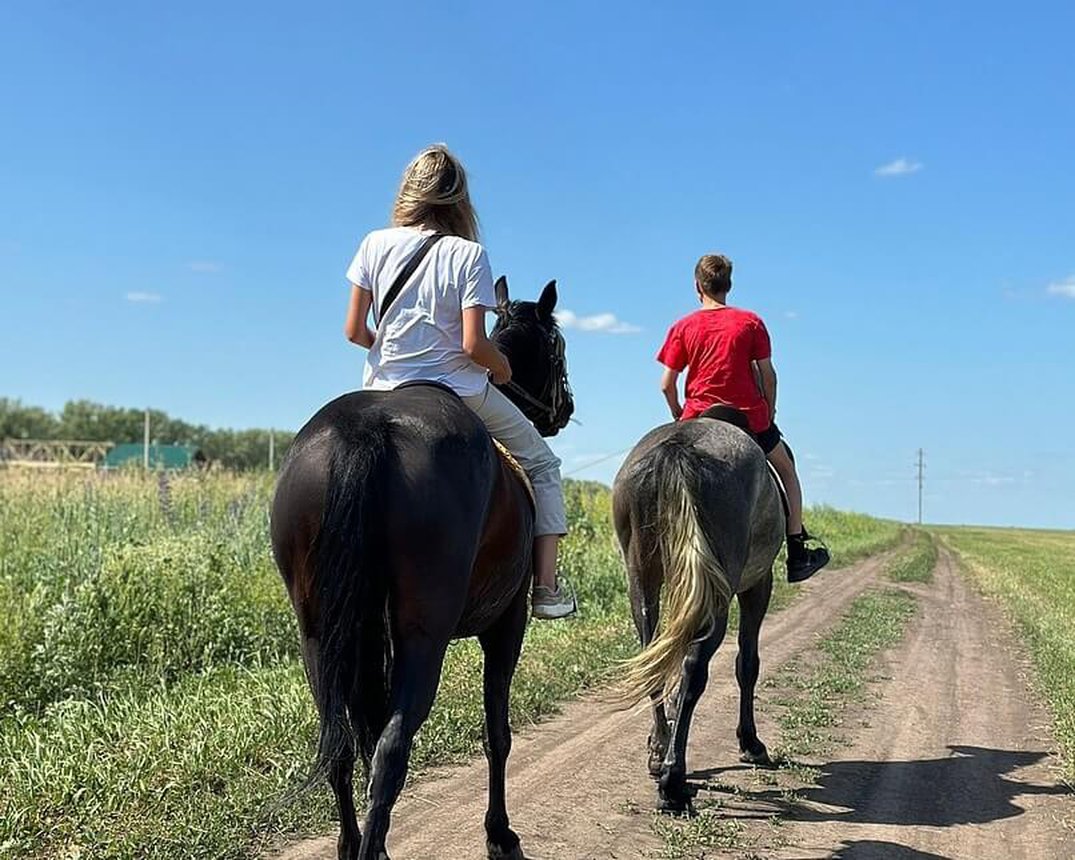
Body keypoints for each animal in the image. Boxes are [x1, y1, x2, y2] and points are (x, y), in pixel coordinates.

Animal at [268, 279, 571, 855]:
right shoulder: (507, 624)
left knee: (342, 744)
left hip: (320, 634)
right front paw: (500, 834)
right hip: (423, 633)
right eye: (559, 349)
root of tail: (363, 428)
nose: (564, 409)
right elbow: (497, 732)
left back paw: (357, 844)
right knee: (391, 747)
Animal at [614, 417, 782, 812]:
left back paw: (660, 751)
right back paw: (673, 782)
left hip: (642, 577)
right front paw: (751, 743)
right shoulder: (758, 585)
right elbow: (747, 664)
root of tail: (678, 447)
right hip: (717, 592)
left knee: (653, 658)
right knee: (694, 669)